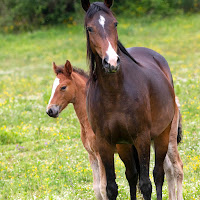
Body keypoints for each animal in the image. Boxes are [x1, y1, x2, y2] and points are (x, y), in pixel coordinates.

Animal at [81, 0, 183, 199]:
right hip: (124, 146)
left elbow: (146, 184)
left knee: (159, 174)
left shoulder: (141, 138)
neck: (114, 93)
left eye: (115, 23)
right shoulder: (105, 143)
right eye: (89, 28)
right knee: (132, 175)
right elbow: (112, 187)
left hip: (162, 135)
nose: (111, 62)